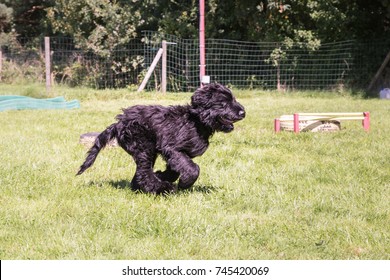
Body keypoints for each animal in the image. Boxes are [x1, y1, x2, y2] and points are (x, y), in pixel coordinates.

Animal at [77, 82, 245, 194]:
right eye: (223, 103)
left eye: (233, 99)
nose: (243, 112)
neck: (196, 121)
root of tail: (118, 123)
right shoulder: (172, 148)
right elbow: (193, 168)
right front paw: (184, 184)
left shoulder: (175, 153)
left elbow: (175, 169)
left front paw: (162, 175)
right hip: (144, 146)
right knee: (143, 173)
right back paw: (162, 188)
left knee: (141, 173)